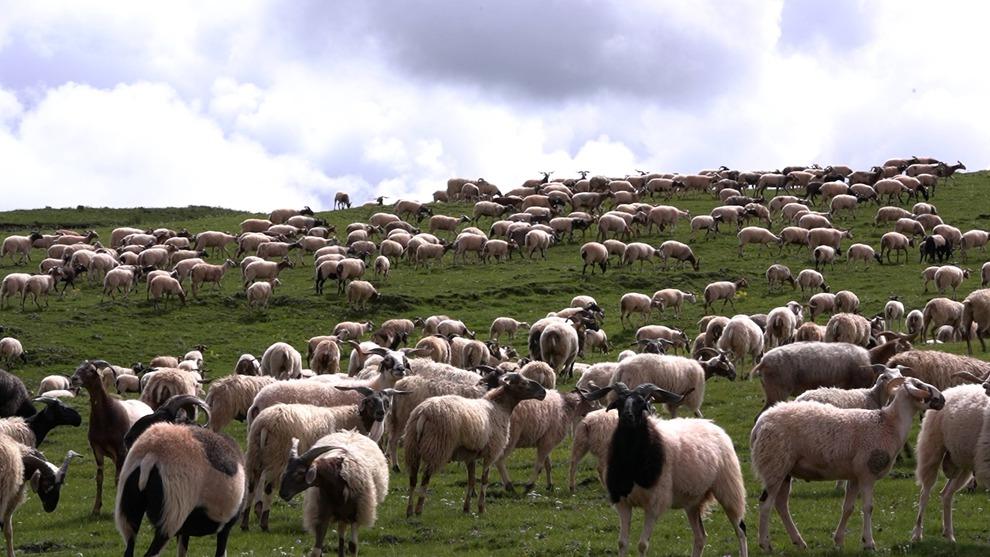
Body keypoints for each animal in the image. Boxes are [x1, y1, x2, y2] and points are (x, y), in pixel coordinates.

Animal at [112, 422, 242, 556]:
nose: (127, 438)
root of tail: (152, 454)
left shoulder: (185, 530)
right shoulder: (225, 527)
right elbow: (220, 552)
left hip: (129, 511)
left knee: (129, 548)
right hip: (170, 517)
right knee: (151, 553)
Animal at [576, 382, 748, 556]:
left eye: (641, 403)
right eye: (619, 402)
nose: (626, 416)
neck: (632, 463)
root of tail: (712, 425)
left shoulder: (654, 504)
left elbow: (642, 544)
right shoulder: (623, 501)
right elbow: (622, 543)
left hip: (728, 489)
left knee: (740, 529)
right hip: (693, 501)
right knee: (701, 536)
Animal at [752, 376, 944, 548]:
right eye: (920, 385)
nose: (942, 399)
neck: (889, 425)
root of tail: (760, 424)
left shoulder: (855, 476)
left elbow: (848, 508)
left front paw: (838, 541)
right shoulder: (867, 473)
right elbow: (868, 507)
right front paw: (869, 543)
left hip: (784, 470)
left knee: (781, 505)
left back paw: (798, 542)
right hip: (774, 464)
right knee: (766, 504)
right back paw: (765, 544)